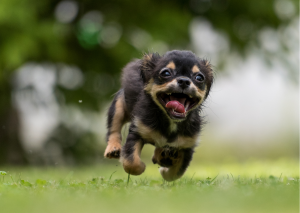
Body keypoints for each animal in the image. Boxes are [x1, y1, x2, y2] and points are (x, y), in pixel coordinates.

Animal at [104, 50, 212, 181]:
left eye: (199, 77)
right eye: (166, 73)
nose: (184, 81)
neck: (171, 121)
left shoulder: (187, 146)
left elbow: (175, 174)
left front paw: (164, 170)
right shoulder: (137, 132)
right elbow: (131, 163)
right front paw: (142, 167)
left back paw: (162, 156)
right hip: (118, 106)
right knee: (114, 129)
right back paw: (113, 148)